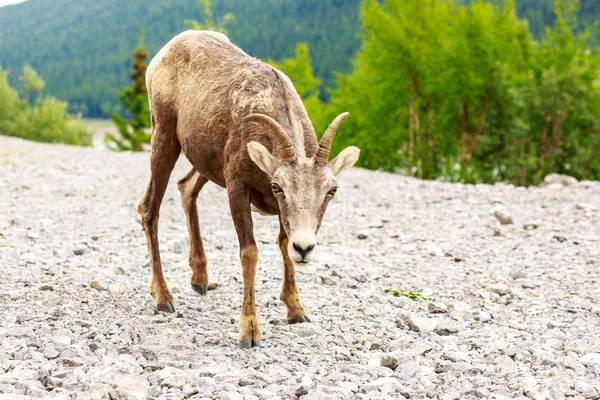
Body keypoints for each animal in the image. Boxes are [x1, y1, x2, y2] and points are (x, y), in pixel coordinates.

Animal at [138, 31, 358, 348]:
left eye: (331, 190)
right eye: (277, 186)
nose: (304, 249)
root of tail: (169, 47)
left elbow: (282, 244)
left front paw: (296, 311)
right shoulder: (237, 188)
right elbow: (249, 253)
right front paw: (250, 332)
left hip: (206, 164)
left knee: (186, 188)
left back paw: (200, 280)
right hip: (164, 139)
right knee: (149, 209)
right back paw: (163, 297)